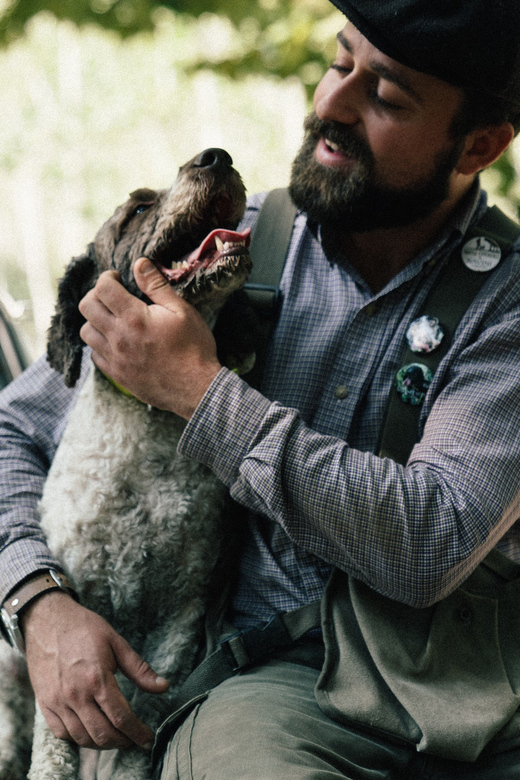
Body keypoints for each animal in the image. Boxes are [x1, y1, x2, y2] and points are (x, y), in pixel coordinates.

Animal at [0, 148, 254, 780]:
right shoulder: (74, 626)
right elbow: (54, 745)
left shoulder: (180, 621)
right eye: (138, 209)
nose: (216, 156)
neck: (147, 428)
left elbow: (141, 732)